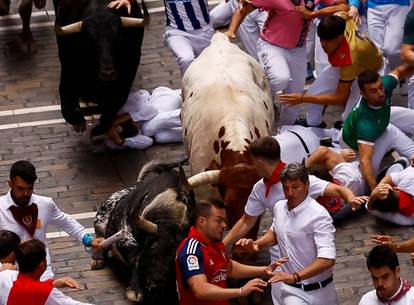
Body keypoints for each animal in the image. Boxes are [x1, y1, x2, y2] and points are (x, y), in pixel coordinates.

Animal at [53, 0, 147, 134]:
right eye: (88, 41)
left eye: (118, 39)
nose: (107, 73)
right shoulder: (68, 69)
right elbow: (66, 103)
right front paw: (78, 122)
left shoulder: (128, 74)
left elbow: (115, 103)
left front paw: (100, 127)